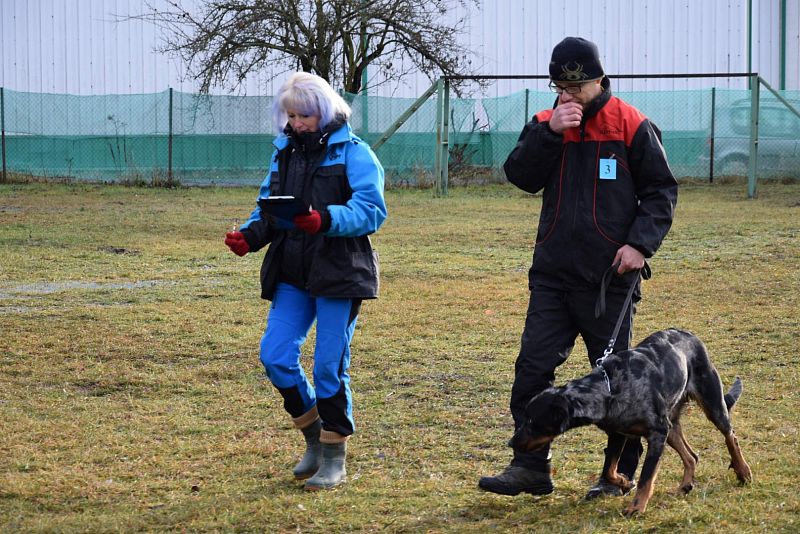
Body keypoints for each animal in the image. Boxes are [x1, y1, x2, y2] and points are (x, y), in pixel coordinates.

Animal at [510, 328, 752, 516]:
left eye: (532, 421)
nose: (511, 443)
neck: (609, 388)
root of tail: (691, 336)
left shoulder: (657, 434)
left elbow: (646, 477)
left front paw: (636, 508)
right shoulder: (618, 433)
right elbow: (609, 469)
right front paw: (624, 482)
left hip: (711, 404)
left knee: (730, 436)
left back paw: (742, 471)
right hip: (672, 426)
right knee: (692, 456)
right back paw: (685, 485)